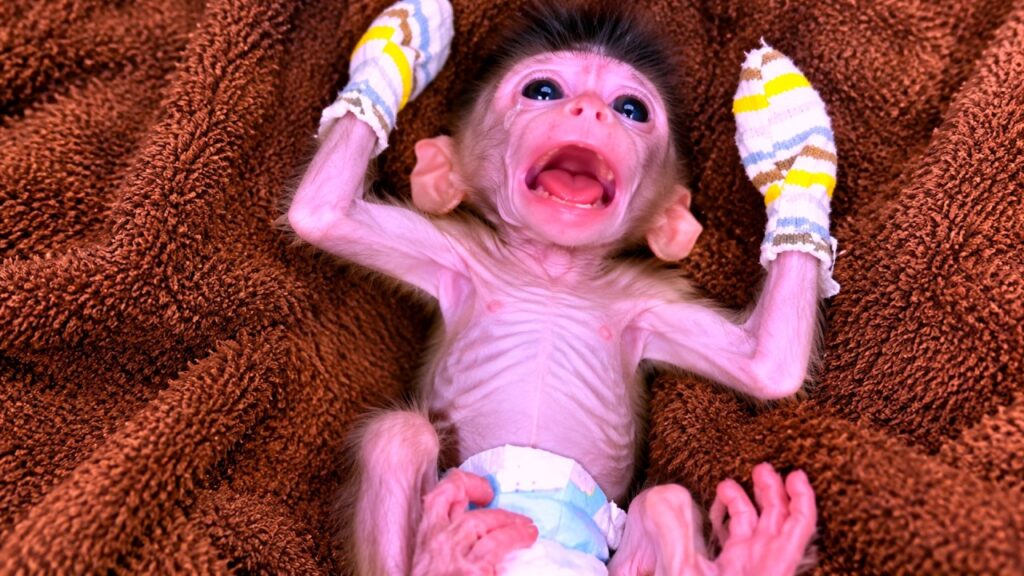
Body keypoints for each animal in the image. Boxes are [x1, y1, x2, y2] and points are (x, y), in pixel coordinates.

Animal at [287, 1, 839, 574]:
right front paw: (397, 50)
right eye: (544, 91)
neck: (554, 271)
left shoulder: (647, 302)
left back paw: (758, 554)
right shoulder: (458, 255)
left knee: (663, 502)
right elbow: (322, 215)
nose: (590, 110)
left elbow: (768, 367)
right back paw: (444, 554)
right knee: (398, 436)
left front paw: (794, 155)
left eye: (630, 109)